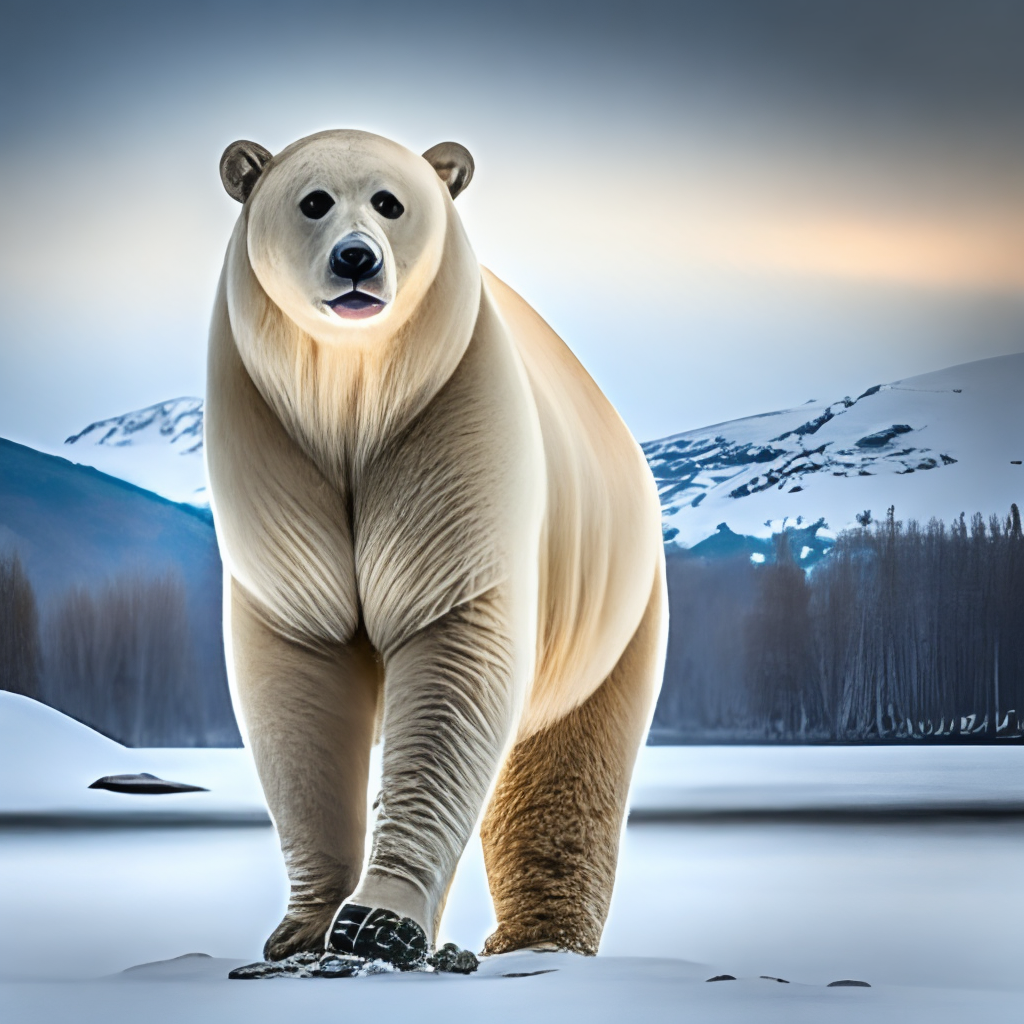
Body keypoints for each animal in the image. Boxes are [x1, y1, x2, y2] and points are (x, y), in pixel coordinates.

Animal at [206, 130, 667, 966]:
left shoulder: (450, 419)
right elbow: (304, 673)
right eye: (314, 200)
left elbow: (447, 645)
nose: (358, 259)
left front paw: (379, 922)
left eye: (390, 201)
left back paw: (539, 939)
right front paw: (301, 929)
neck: (350, 396)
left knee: (565, 768)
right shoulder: (272, 446)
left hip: (616, 607)